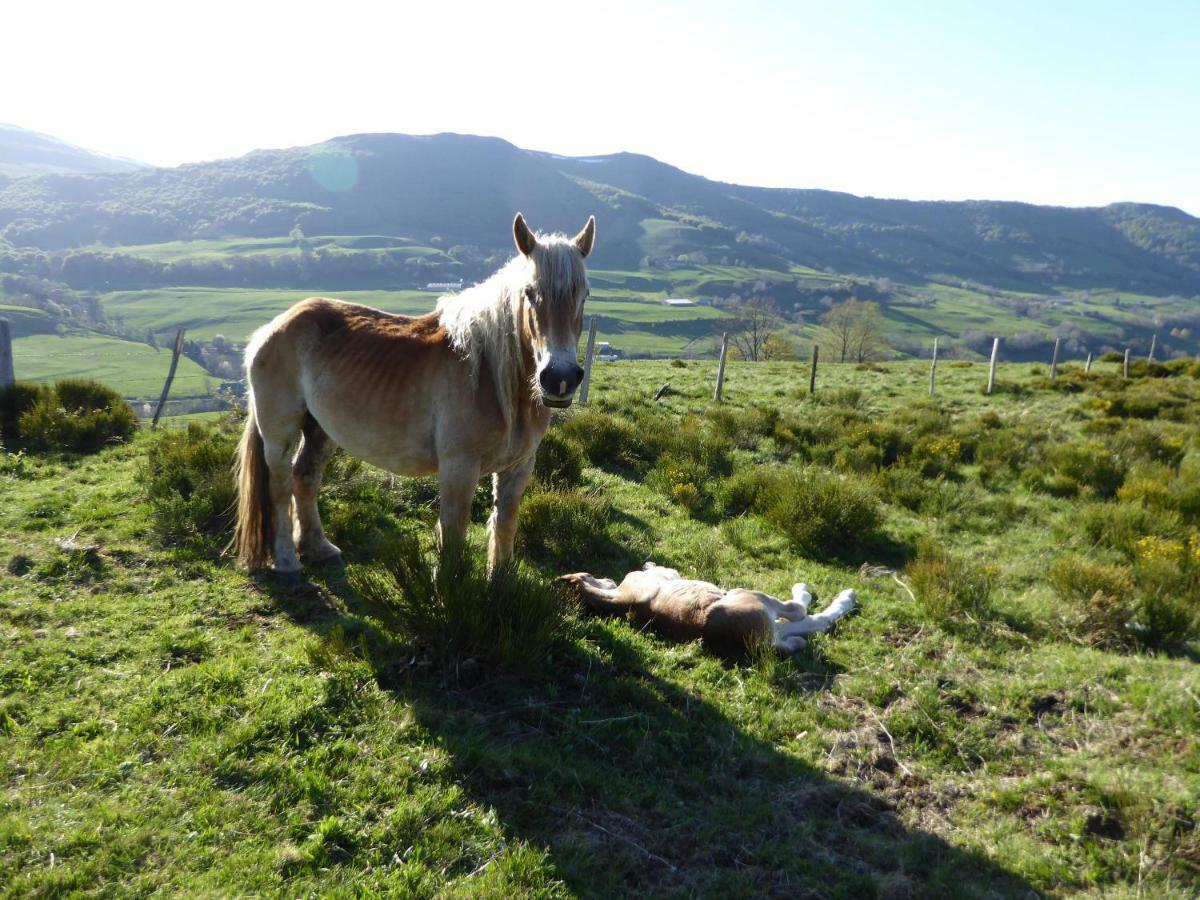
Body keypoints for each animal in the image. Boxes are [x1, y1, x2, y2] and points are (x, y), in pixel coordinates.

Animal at [230, 213, 595, 578]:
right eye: (530, 292)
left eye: (584, 293)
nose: (560, 378)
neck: (493, 376)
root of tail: (275, 326)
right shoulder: (458, 468)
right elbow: (453, 533)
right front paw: (448, 585)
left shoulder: (518, 467)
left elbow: (504, 526)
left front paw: (500, 582)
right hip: (280, 431)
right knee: (279, 484)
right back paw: (288, 561)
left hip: (319, 429)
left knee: (304, 477)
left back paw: (319, 549)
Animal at [556, 561, 859, 657]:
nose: (607, 579)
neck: (619, 599)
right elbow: (667, 570)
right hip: (753, 598)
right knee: (800, 612)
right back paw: (835, 594)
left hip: (773, 627)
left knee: (807, 624)